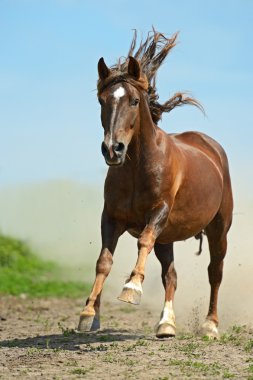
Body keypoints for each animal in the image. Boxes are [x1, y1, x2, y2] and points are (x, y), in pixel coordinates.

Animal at [77, 29, 233, 338]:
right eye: (102, 101)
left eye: (134, 101)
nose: (113, 150)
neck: (137, 169)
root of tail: (211, 147)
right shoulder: (110, 218)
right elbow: (103, 261)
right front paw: (89, 314)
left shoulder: (158, 213)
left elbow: (143, 241)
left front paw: (131, 288)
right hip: (168, 237)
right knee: (170, 276)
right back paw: (166, 324)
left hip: (218, 228)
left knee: (215, 272)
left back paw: (210, 324)